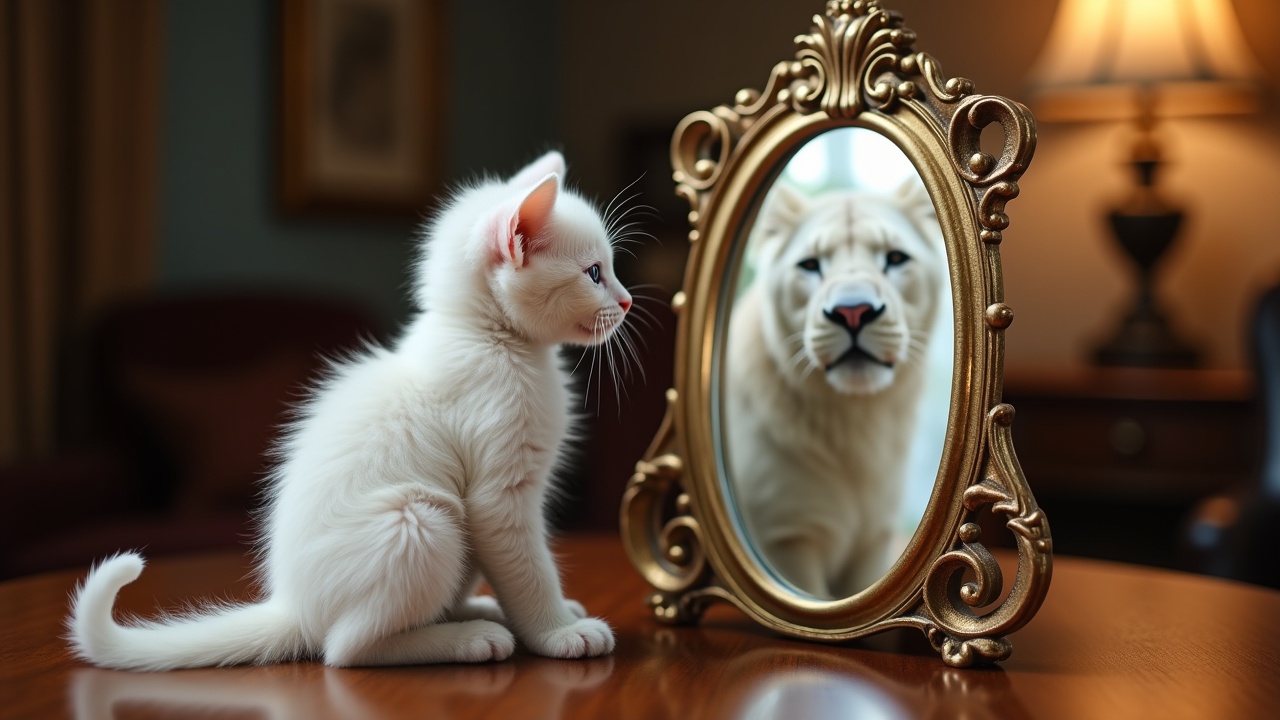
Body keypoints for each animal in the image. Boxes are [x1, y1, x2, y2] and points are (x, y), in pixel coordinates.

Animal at [64, 149, 634, 666]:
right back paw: (468, 638)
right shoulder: (500, 497)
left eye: (608, 270)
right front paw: (558, 632)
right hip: (422, 518)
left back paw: (476, 612)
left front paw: (557, 617)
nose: (628, 301)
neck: (489, 337)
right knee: (345, 649)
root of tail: (296, 609)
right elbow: (528, 568)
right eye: (593, 273)